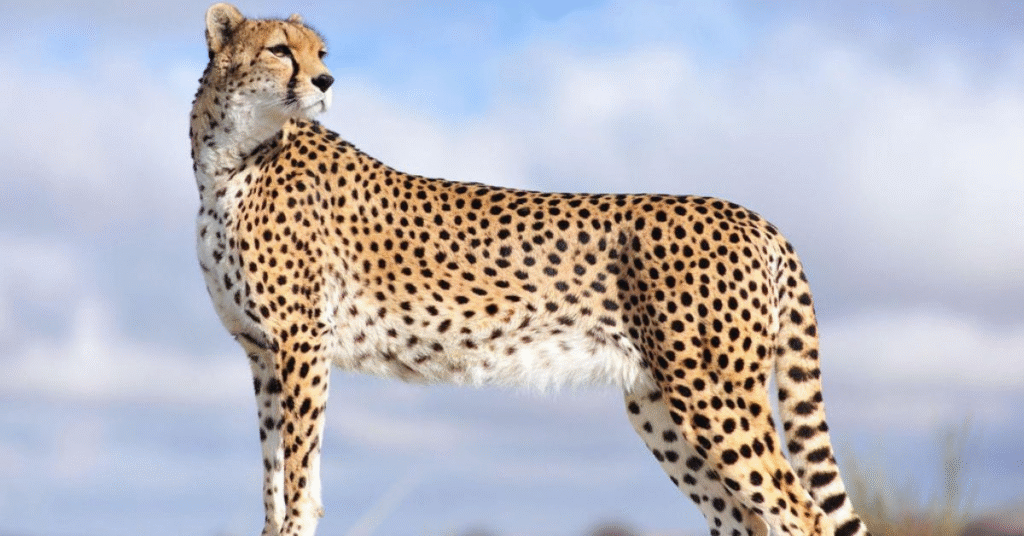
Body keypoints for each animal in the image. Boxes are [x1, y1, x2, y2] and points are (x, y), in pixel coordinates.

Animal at [190, 4, 871, 536]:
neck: (229, 159)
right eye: (280, 50)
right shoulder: (262, 353)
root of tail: (754, 216)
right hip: (657, 402)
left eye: (321, 53)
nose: (327, 80)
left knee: (800, 511)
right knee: (745, 515)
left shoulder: (302, 343)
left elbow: (300, 476)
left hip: (711, 388)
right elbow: (274, 472)